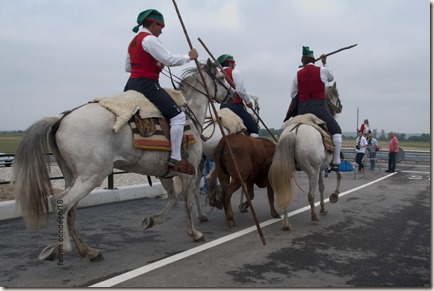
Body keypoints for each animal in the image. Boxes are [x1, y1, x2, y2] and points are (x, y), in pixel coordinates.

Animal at [11, 60, 232, 262]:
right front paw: (194, 233)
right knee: (63, 204)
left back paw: (87, 251)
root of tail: (61, 118)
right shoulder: (189, 171)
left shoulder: (165, 172)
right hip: (91, 177)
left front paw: (152, 220)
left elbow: (172, 199)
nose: (231, 94)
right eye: (221, 77)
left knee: (67, 207)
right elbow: (187, 202)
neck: (189, 114)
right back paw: (64, 248)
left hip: (72, 176)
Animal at [268, 83, 342, 232]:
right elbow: (329, 182)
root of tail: (293, 132)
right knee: (310, 195)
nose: (340, 107)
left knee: (286, 193)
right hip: (311, 171)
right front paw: (333, 197)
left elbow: (322, 186)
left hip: (288, 170)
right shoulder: (321, 168)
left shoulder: (320, 168)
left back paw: (286, 224)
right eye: (337, 95)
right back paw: (314, 216)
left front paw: (323, 208)